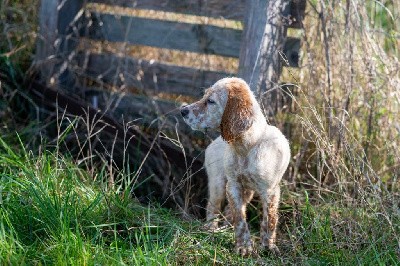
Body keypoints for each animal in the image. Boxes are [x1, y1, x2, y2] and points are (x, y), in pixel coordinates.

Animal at [181, 77, 290, 256]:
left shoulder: (270, 190)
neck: (247, 147)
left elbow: (270, 220)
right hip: (218, 183)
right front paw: (244, 247)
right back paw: (211, 229)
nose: (183, 111)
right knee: (213, 207)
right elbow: (240, 218)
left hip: (248, 192)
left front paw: (269, 246)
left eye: (211, 101)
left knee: (227, 211)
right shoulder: (233, 185)